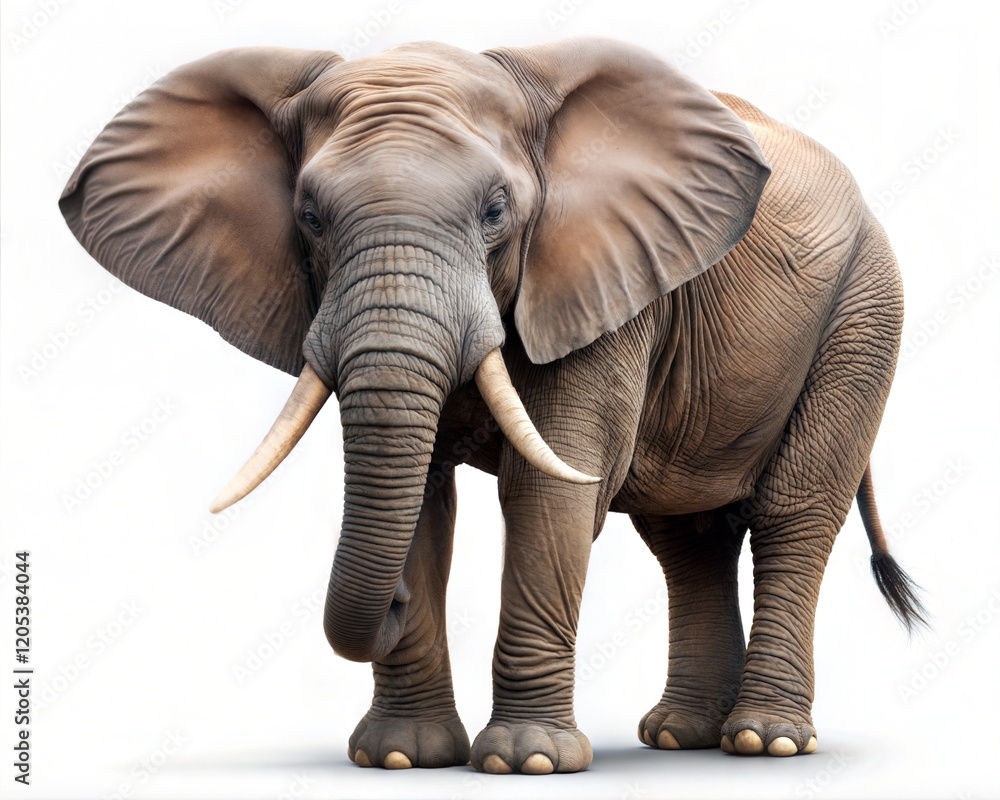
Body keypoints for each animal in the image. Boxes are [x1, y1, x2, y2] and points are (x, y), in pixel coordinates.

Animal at [59, 37, 924, 773]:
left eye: (496, 211)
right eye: (309, 217)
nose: (394, 604)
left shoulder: (605, 281)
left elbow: (550, 488)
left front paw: (527, 761)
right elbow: (423, 498)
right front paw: (400, 757)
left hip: (863, 312)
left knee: (792, 517)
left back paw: (764, 742)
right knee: (687, 537)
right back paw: (682, 737)